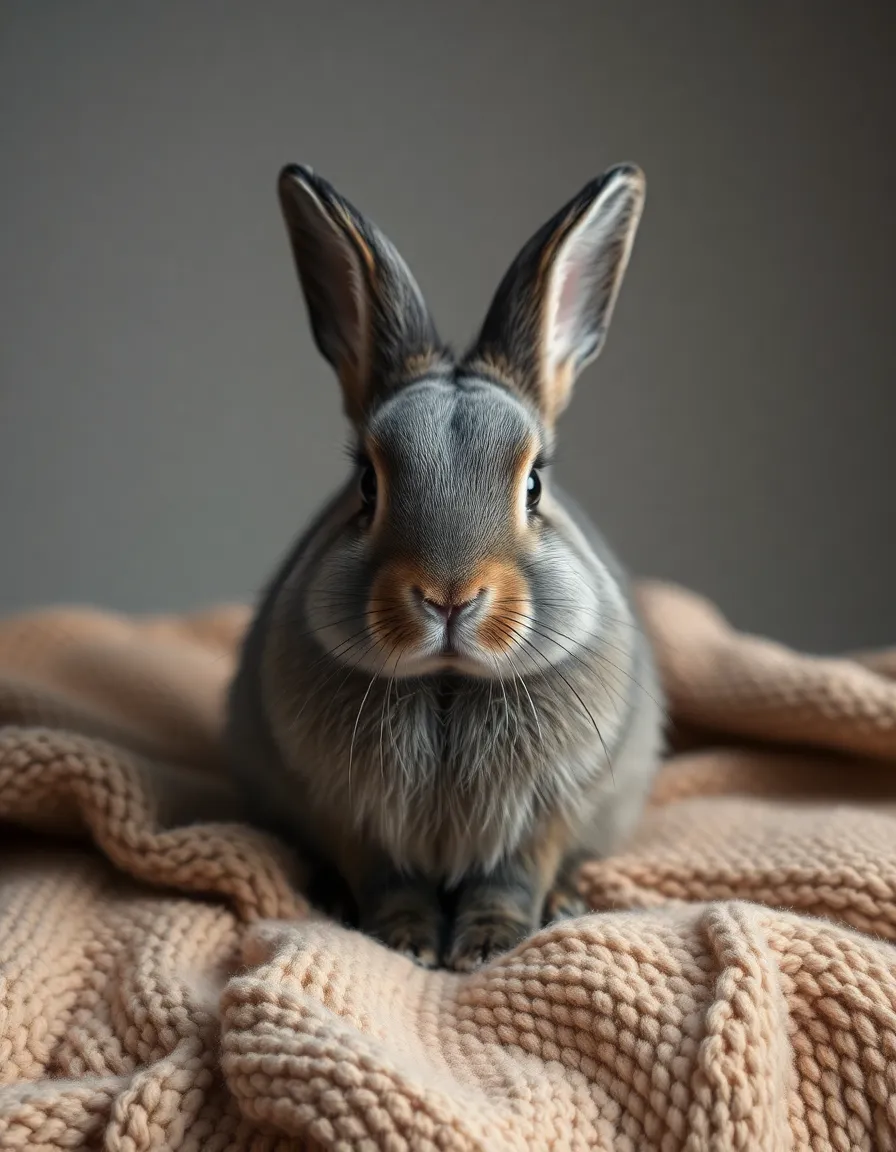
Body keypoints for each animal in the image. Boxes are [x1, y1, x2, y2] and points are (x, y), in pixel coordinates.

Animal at [227, 160, 664, 971]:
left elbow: (509, 881)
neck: (448, 684)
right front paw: (408, 944)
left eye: (535, 484)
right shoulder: (354, 819)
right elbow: (388, 880)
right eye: (366, 485)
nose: (449, 596)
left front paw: (486, 949)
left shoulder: (543, 819)